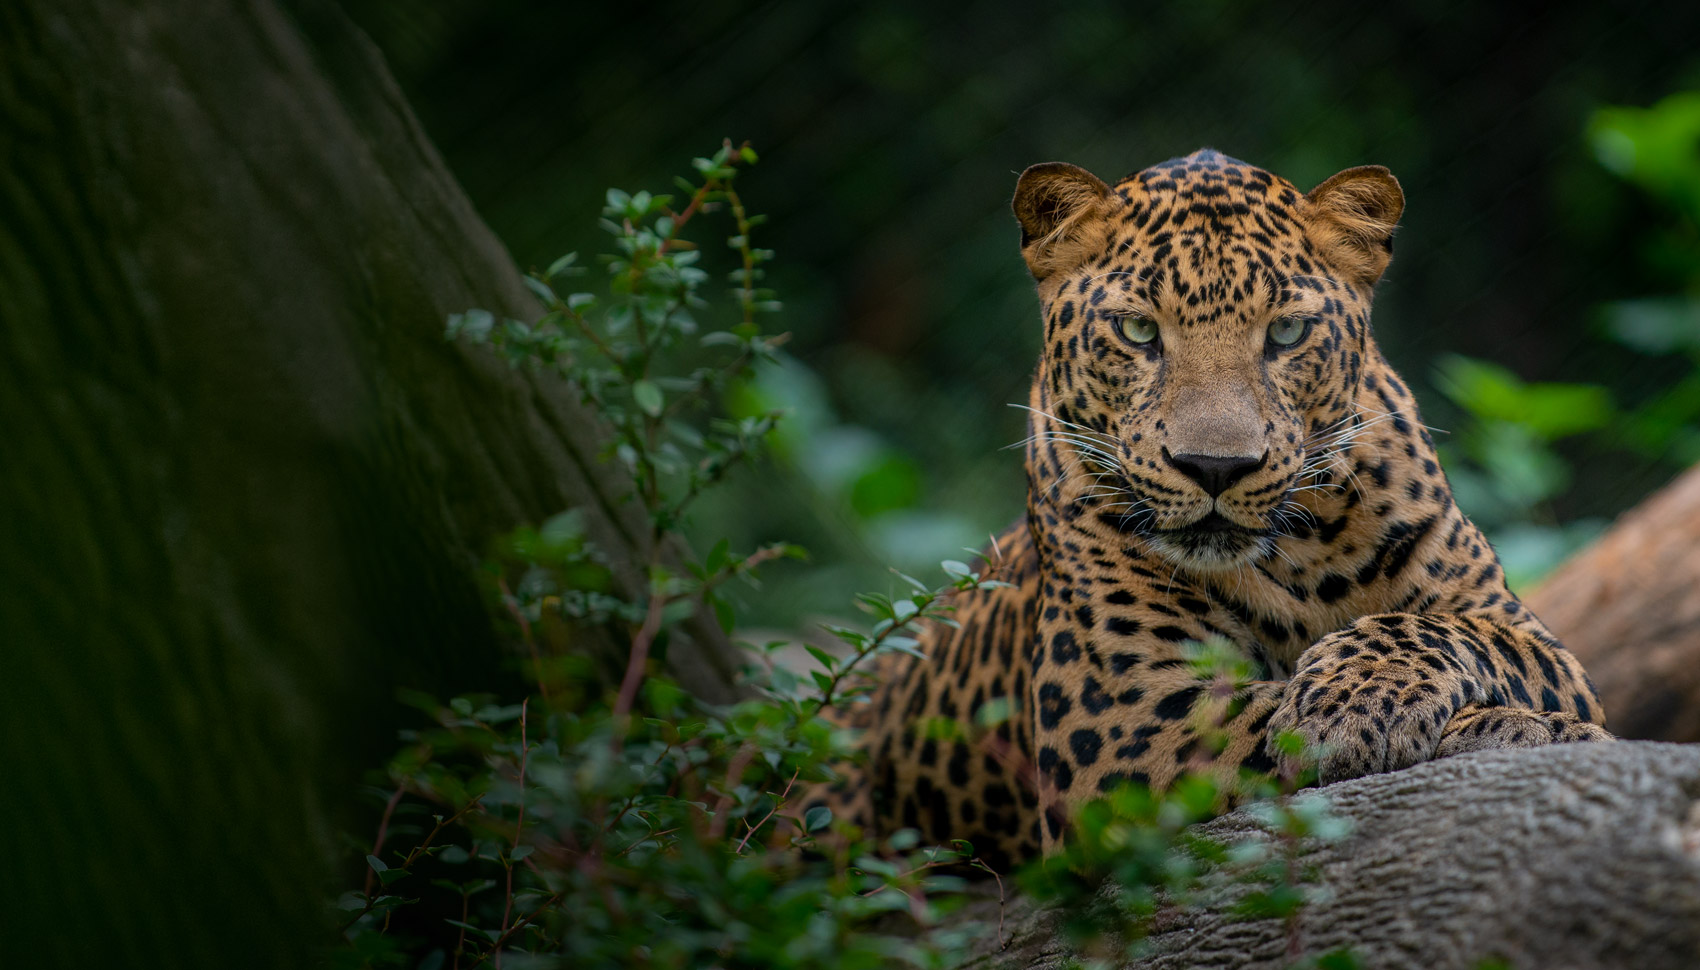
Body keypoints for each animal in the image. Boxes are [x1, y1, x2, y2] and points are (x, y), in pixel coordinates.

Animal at [807, 149, 1611, 871]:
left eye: (1286, 333)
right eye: (1137, 331)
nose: (1216, 467)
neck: (1297, 559)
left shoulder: (1531, 635)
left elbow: (1454, 632)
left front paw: (1361, 699)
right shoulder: (1122, 713)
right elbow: (1262, 722)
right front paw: (1465, 726)